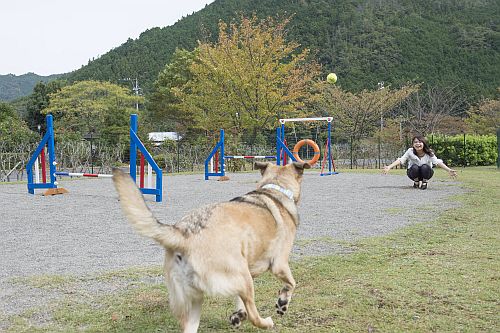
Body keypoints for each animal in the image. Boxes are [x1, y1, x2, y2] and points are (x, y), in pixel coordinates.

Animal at [112, 160, 310, 330]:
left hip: (194, 300)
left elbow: (240, 303)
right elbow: (291, 284)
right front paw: (282, 303)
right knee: (254, 315)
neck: (275, 190)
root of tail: (183, 233)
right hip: (242, 278)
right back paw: (266, 322)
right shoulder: (279, 264)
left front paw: (238, 314)